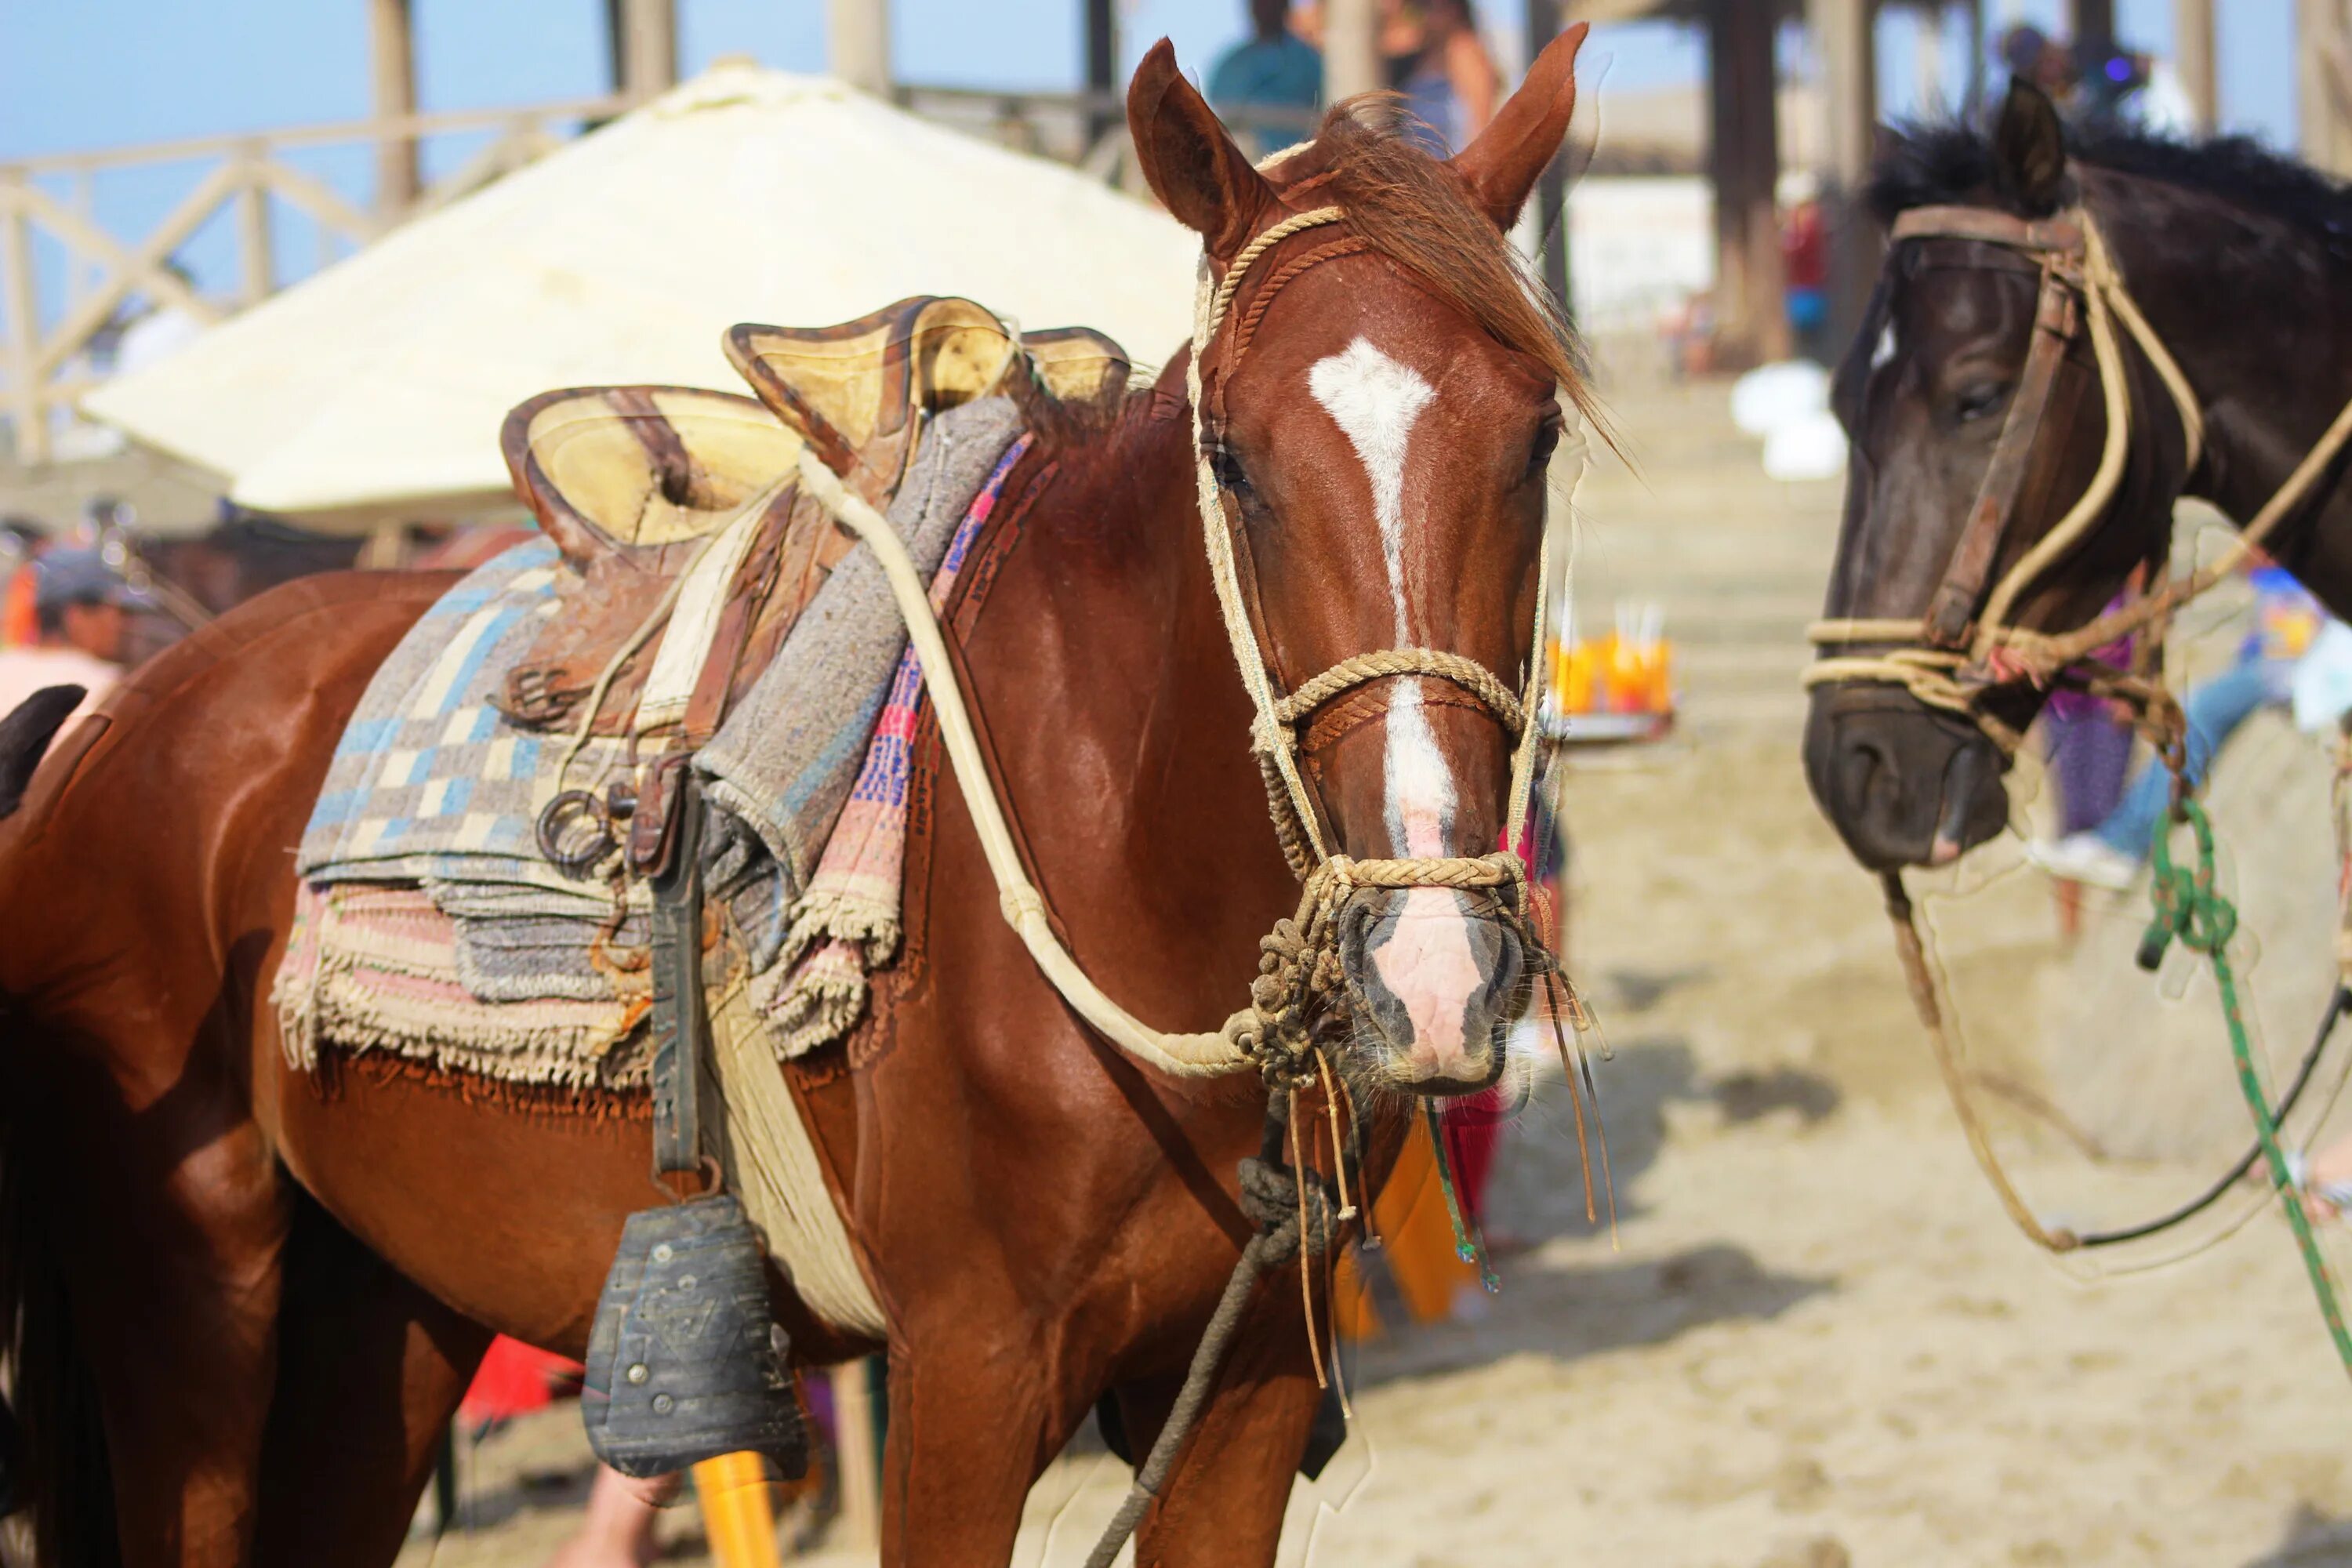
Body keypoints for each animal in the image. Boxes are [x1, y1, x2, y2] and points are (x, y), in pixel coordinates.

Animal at [0, 34, 1599, 1568]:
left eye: (1534, 439)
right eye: (1233, 456)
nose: (1433, 971)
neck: (1120, 864)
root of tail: (118, 720)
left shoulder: (1246, 1382)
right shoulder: (971, 1371)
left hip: (381, 1315)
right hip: (195, 1324)